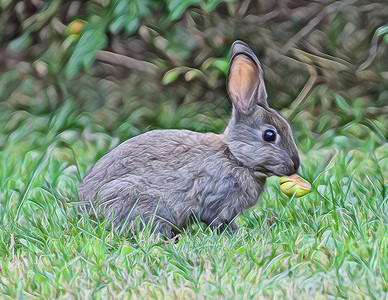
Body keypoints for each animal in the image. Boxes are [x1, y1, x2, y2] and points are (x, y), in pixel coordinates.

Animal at [76, 39, 300, 237]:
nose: (295, 165)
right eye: (269, 135)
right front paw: (239, 234)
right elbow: (219, 221)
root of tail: (86, 210)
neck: (235, 158)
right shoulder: (215, 201)